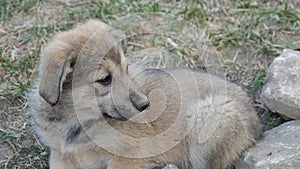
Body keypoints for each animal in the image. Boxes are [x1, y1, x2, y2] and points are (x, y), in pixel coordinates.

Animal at [29, 20, 262, 169]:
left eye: (126, 68)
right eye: (105, 79)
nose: (145, 105)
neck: (77, 122)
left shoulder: (128, 156)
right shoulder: (61, 155)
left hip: (207, 118)